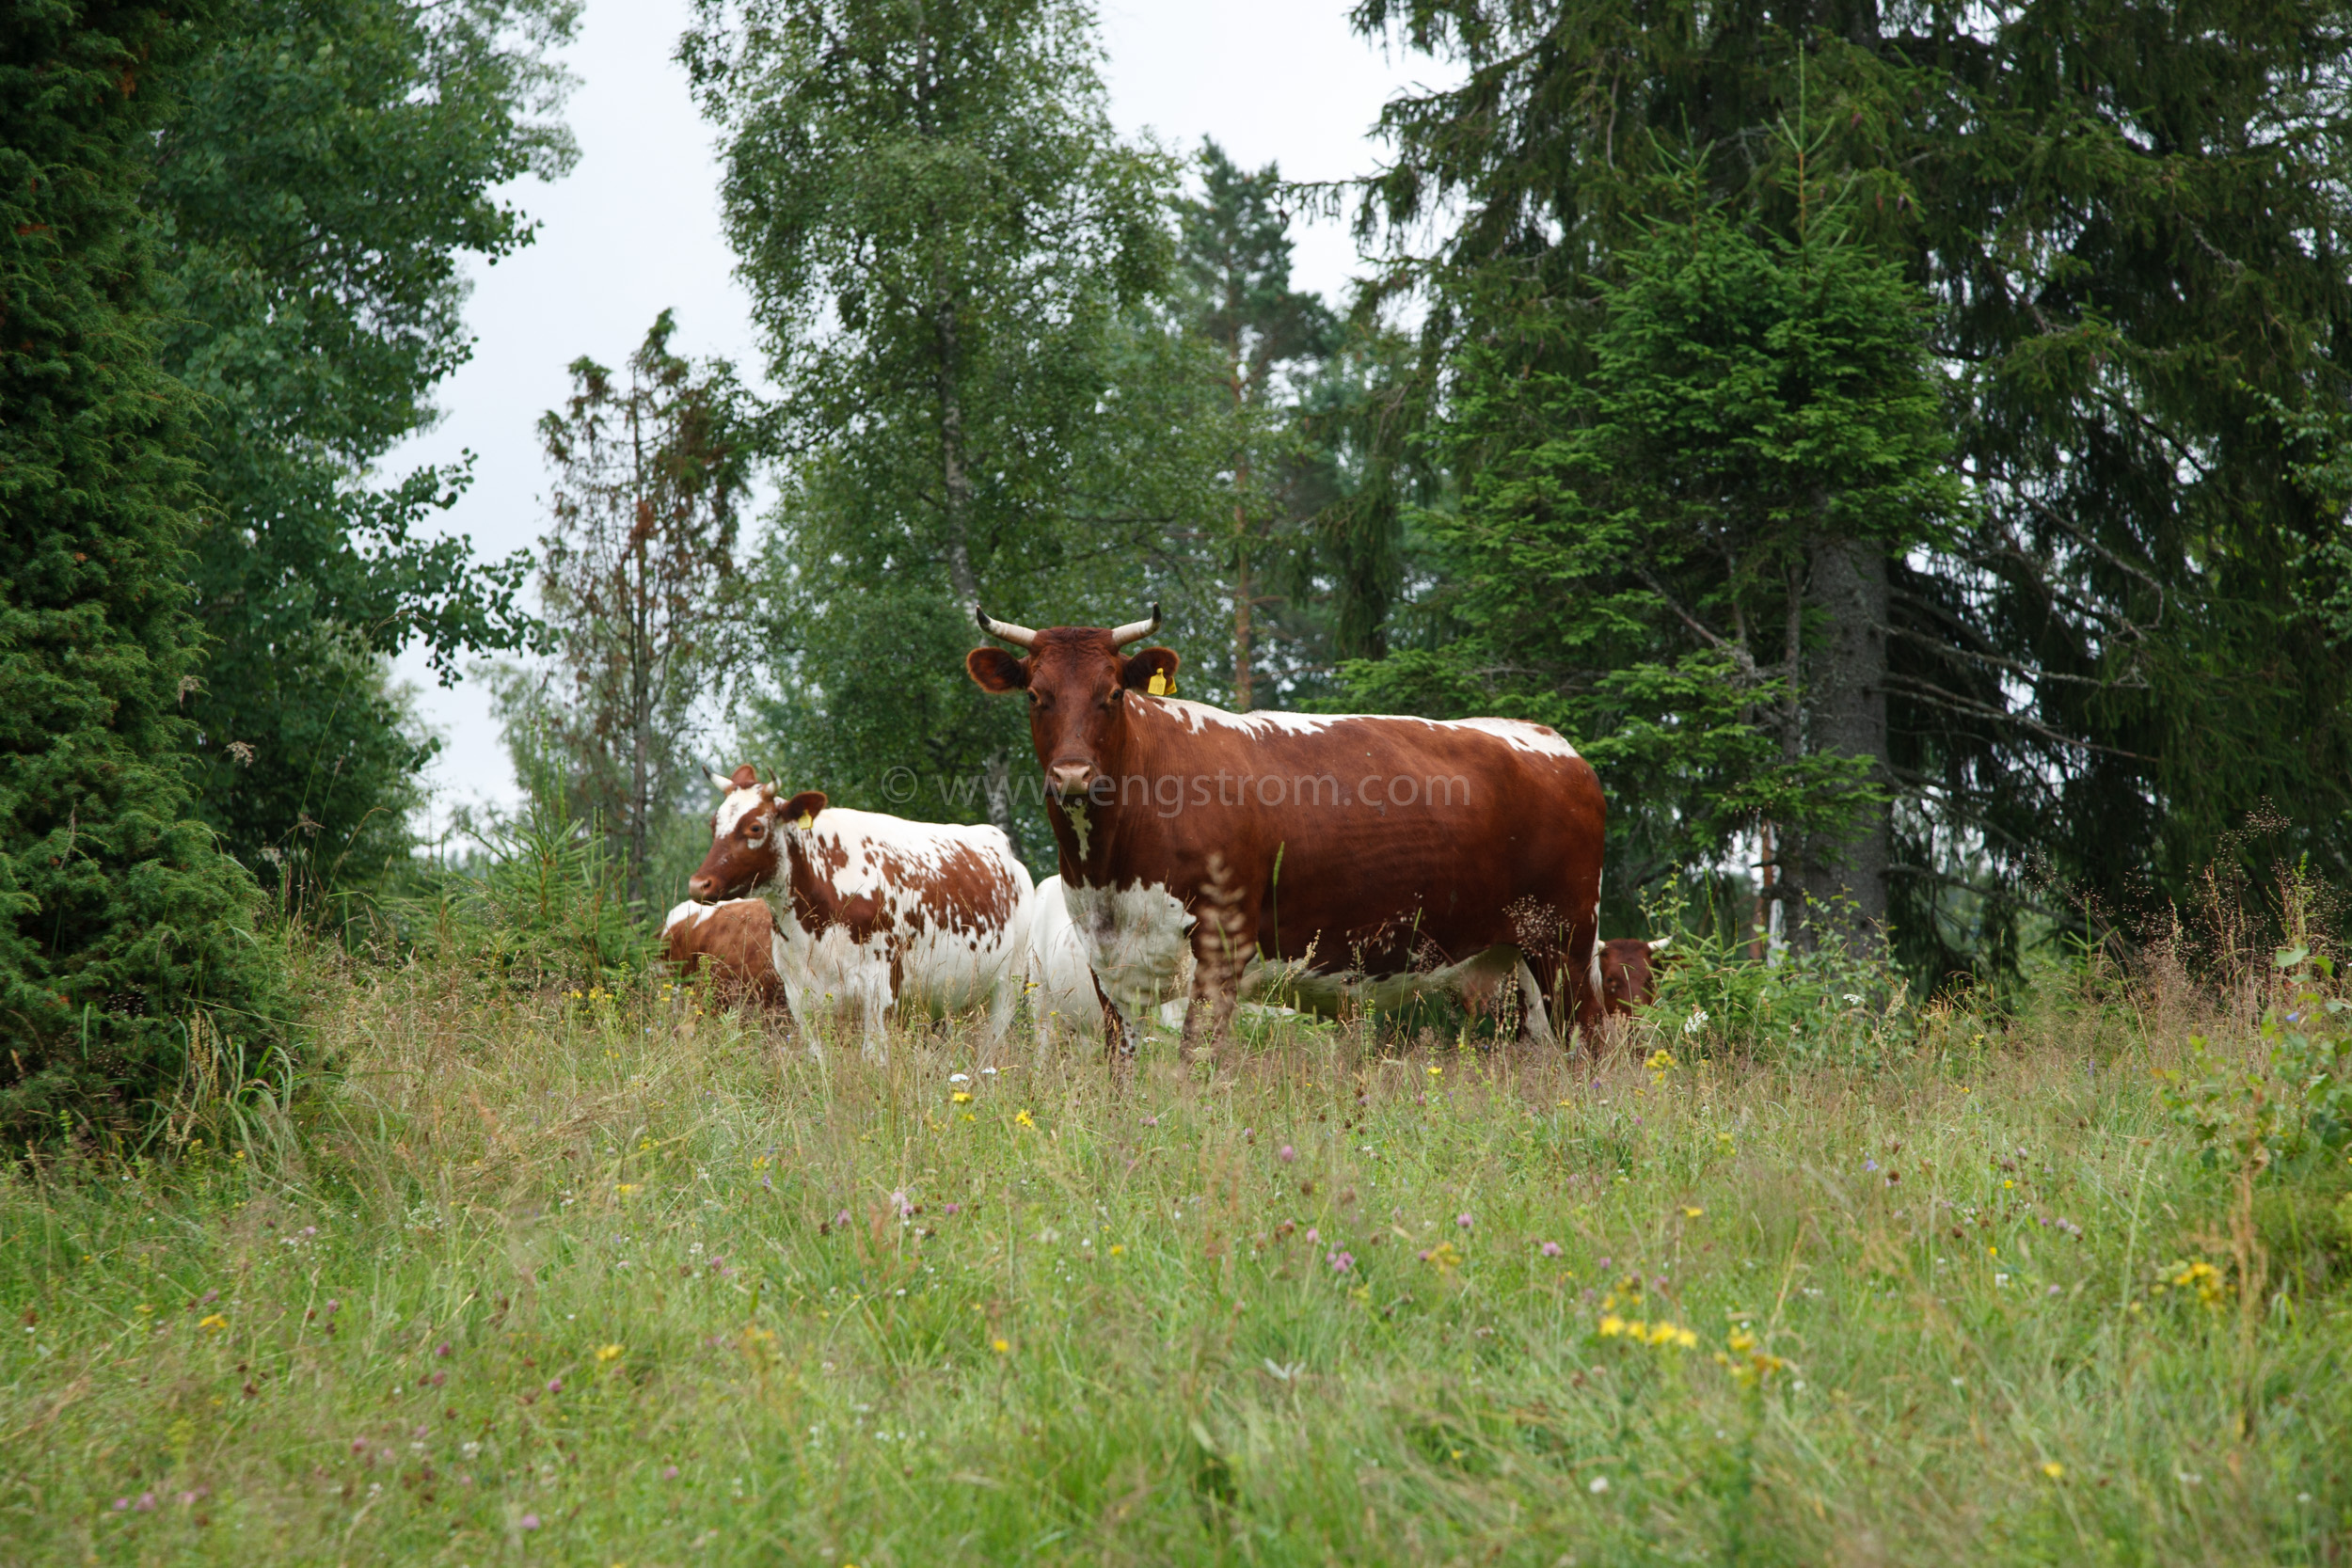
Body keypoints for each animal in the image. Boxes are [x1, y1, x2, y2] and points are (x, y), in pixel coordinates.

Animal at [687, 761, 1040, 1048]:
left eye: (755, 827)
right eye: (713, 824)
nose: (699, 884)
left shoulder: (878, 993)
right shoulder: (800, 996)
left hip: (1005, 989)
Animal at [964, 606, 1609, 1067]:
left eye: (1114, 694)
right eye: (1035, 696)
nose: (1073, 776)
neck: (1110, 864)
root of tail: (1551, 743)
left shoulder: (1220, 946)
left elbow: (1196, 1058)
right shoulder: (1108, 958)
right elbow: (1119, 1063)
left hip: (1566, 942)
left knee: (1592, 1041)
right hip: (1519, 957)